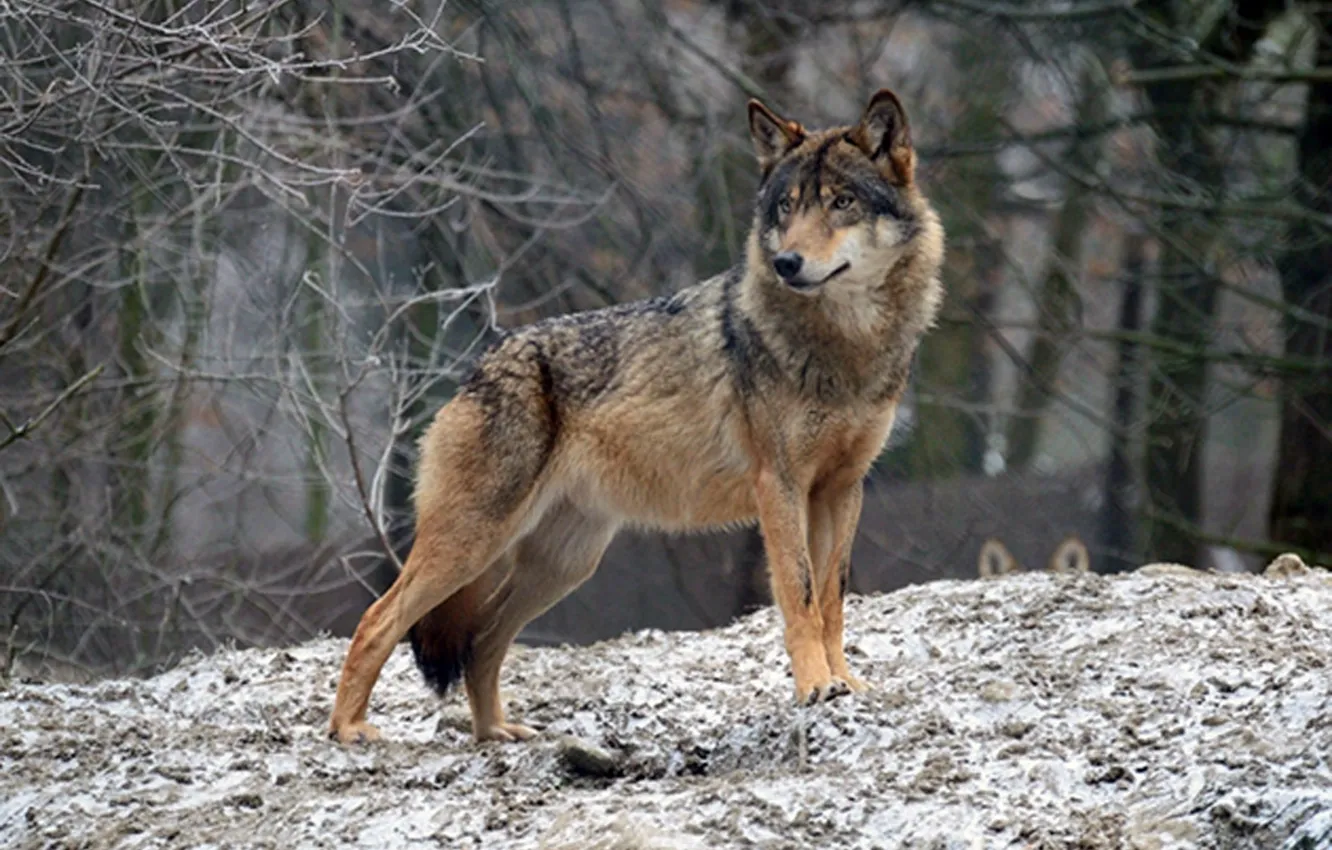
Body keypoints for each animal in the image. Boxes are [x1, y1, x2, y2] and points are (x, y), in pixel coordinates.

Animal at [328, 87, 946, 745]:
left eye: (841, 202)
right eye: (787, 206)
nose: (786, 262)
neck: (845, 346)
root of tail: (480, 364)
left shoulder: (842, 489)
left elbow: (831, 597)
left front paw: (846, 684)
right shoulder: (779, 488)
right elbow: (799, 596)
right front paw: (814, 688)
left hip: (563, 565)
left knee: (482, 641)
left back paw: (497, 732)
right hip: (471, 544)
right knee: (377, 619)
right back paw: (348, 729)